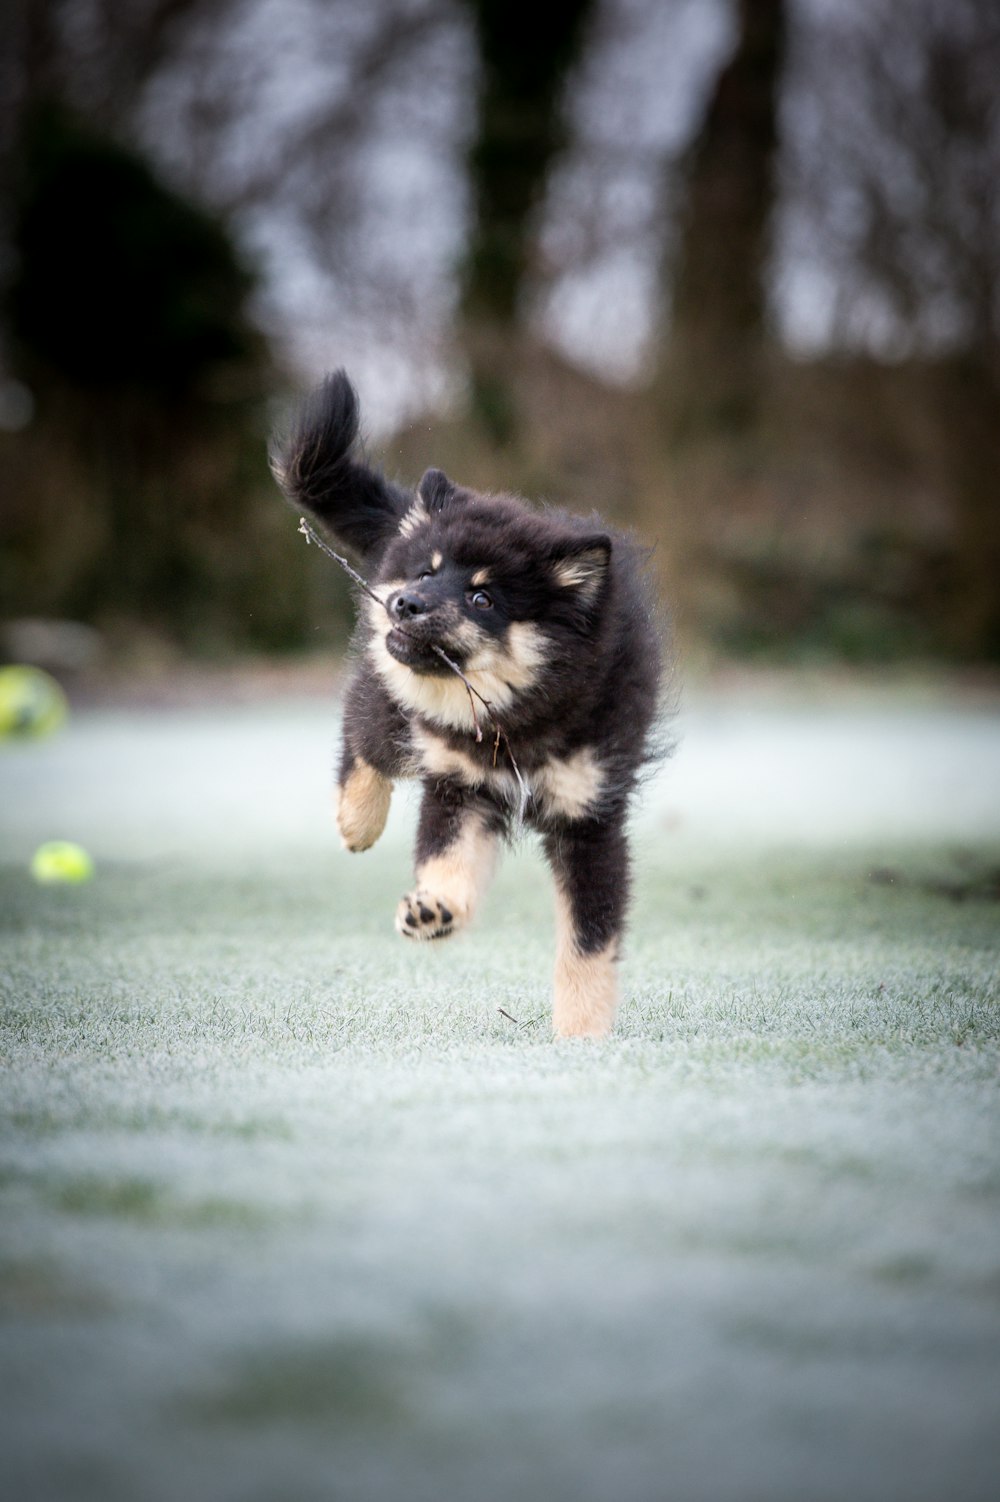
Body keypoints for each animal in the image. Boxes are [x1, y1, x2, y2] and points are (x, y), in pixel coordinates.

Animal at [270, 369, 660, 1039]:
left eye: (483, 599)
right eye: (428, 573)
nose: (406, 603)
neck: (518, 719)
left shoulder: (589, 816)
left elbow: (587, 941)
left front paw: (583, 1034)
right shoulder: (462, 786)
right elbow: (447, 859)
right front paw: (435, 909)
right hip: (393, 695)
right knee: (363, 732)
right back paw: (357, 820)